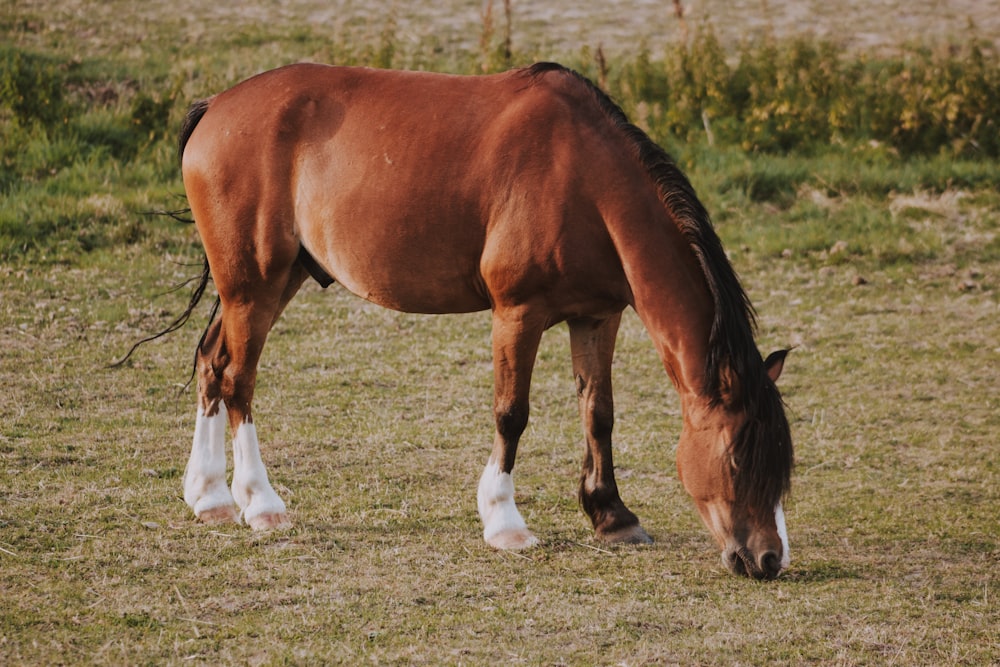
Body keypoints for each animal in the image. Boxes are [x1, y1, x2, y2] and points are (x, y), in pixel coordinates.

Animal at [176, 65, 792, 580]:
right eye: (737, 457)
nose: (767, 558)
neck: (584, 178)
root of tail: (215, 106)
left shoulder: (596, 316)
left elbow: (599, 413)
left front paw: (612, 515)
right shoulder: (518, 313)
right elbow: (511, 414)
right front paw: (504, 522)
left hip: (276, 282)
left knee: (211, 364)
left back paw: (211, 498)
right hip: (253, 287)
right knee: (238, 382)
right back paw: (260, 504)